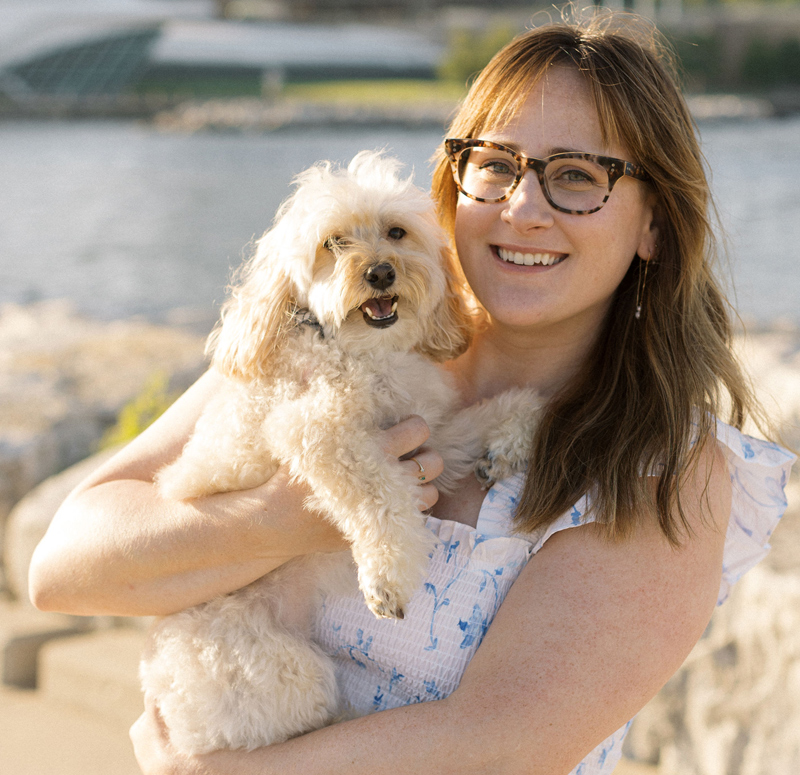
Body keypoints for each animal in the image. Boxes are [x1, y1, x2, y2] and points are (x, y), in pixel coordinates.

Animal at [141, 153, 540, 756]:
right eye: (332, 243)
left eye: (396, 233)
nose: (379, 273)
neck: (363, 353)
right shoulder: (313, 430)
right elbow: (379, 497)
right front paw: (387, 577)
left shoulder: (431, 431)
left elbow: (499, 410)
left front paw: (512, 441)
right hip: (282, 671)